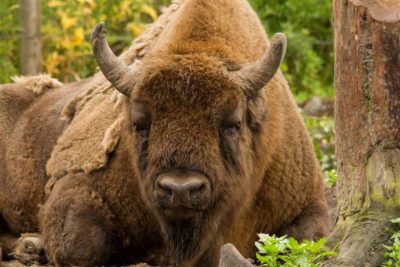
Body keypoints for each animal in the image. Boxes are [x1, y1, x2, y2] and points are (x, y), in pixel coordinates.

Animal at [0, 0, 330, 267]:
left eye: (233, 123)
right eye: (139, 123)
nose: (180, 189)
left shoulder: (309, 202)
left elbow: (305, 239)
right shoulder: (77, 188)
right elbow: (80, 248)